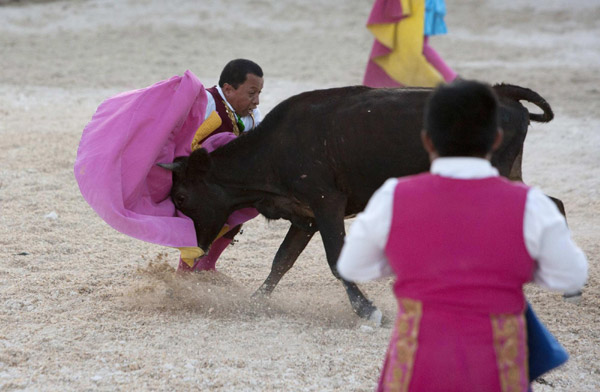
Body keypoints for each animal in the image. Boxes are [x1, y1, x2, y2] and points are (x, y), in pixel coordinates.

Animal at [158, 83, 552, 322]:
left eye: (182, 196)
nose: (193, 247)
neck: (273, 150)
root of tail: (503, 94)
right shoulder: (305, 217)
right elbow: (281, 260)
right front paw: (254, 302)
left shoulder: (326, 204)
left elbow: (336, 259)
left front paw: (367, 311)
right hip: (508, 177)